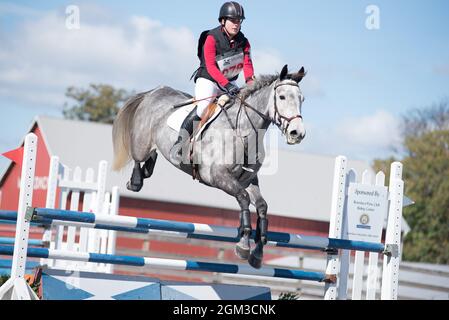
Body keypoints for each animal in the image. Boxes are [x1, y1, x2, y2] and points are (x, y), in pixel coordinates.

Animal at [114, 64, 306, 268]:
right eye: (282, 97)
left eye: (301, 99)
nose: (297, 133)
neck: (243, 131)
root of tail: (155, 91)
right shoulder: (219, 177)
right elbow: (244, 198)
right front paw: (244, 244)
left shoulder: (247, 180)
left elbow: (262, 207)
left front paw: (258, 252)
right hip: (142, 142)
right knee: (138, 157)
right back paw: (135, 181)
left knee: (152, 156)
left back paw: (146, 170)